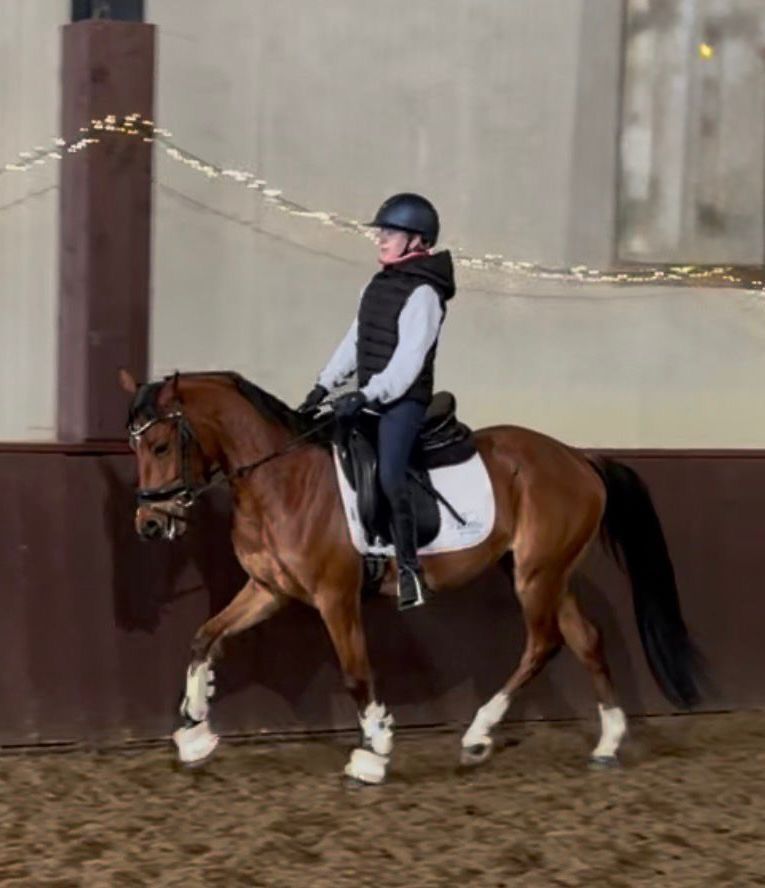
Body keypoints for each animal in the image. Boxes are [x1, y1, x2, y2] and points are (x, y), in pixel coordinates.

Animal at [119, 368, 702, 784]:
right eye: (134, 447)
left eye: (161, 446)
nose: (149, 524)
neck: (280, 480)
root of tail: (579, 459)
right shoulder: (269, 591)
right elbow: (204, 637)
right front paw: (194, 729)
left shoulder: (335, 598)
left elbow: (356, 674)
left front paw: (374, 750)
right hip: (546, 572)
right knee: (586, 639)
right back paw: (607, 742)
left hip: (537, 576)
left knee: (543, 644)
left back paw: (478, 735)